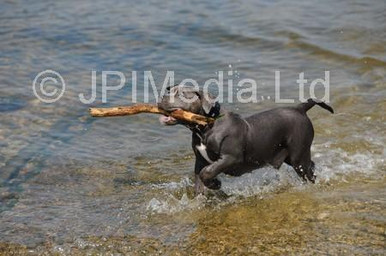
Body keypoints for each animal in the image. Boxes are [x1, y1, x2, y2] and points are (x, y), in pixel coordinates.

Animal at [158, 85, 334, 193]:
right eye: (169, 90)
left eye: (181, 94)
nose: (161, 97)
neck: (206, 126)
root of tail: (300, 109)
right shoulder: (200, 160)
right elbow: (199, 180)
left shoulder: (230, 157)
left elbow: (207, 172)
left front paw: (215, 184)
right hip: (290, 157)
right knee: (311, 165)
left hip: (298, 156)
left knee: (308, 172)